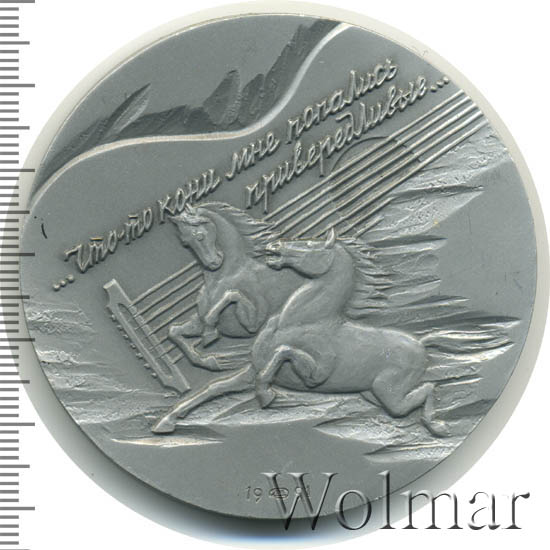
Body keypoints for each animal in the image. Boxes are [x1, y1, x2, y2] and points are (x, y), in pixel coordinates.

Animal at [152, 228, 446, 435]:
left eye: (311, 243)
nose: (275, 245)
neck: (297, 320)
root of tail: (421, 344)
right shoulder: (249, 369)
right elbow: (213, 388)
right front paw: (166, 421)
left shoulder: (316, 375)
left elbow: (284, 352)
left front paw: (266, 395)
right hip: (373, 394)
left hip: (389, 392)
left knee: (426, 388)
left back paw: (438, 426)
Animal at [167, 202, 298, 372]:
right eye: (185, 242)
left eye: (200, 236)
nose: (212, 263)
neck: (226, 276)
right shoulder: (197, 321)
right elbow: (173, 331)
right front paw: (213, 362)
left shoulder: (254, 323)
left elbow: (231, 296)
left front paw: (209, 335)